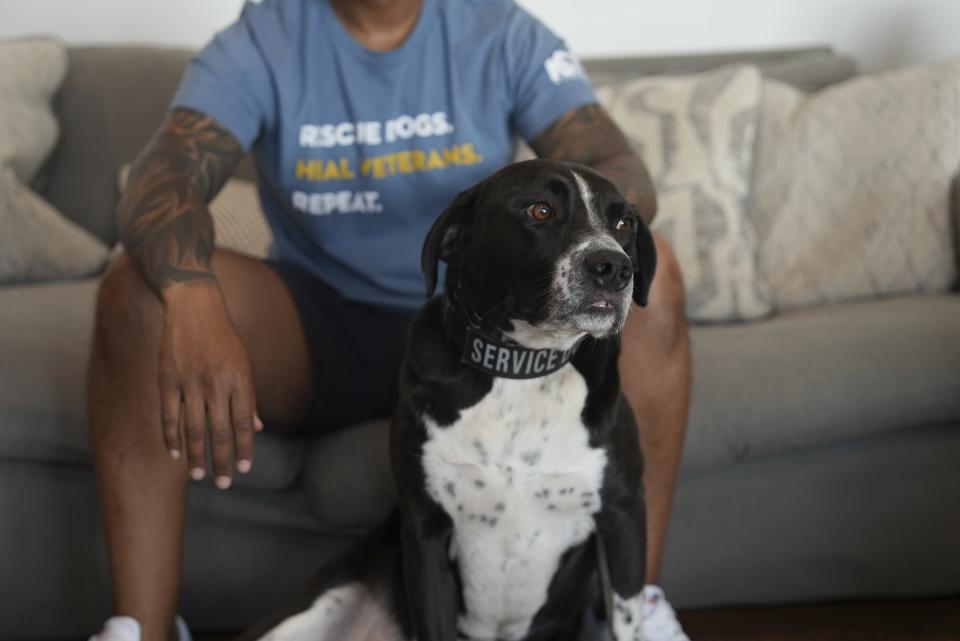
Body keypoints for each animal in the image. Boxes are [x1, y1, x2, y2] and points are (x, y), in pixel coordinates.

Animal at [240, 159, 660, 640]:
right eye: (540, 210)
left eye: (624, 224)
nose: (615, 267)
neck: (519, 368)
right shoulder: (425, 532)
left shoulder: (624, 517)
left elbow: (627, 621)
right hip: (310, 610)